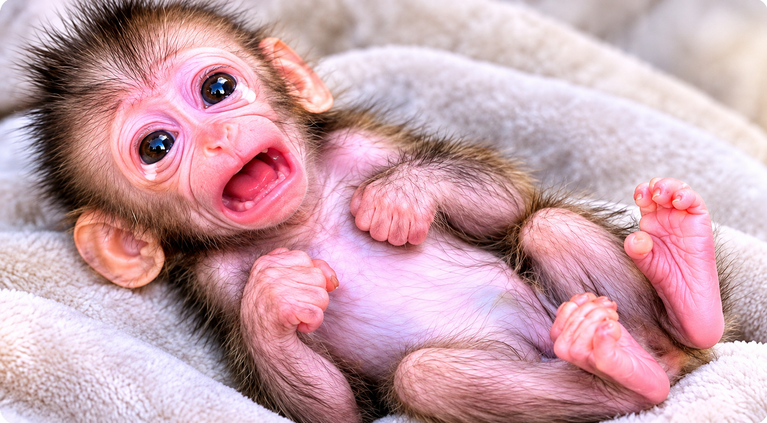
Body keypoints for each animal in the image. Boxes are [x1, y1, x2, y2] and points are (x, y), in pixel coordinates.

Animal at [22, 1, 732, 422]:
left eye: (217, 89)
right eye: (157, 147)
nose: (219, 140)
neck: (302, 217)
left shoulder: (362, 146)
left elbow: (504, 205)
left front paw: (399, 197)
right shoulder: (214, 278)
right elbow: (333, 410)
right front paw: (276, 297)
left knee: (547, 223)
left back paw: (683, 284)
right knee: (428, 379)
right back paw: (622, 366)